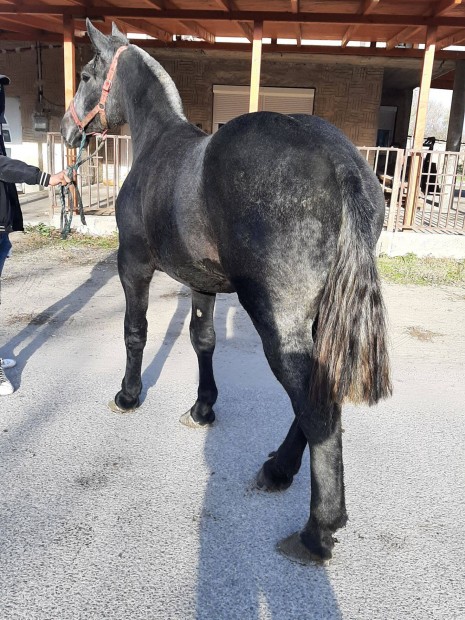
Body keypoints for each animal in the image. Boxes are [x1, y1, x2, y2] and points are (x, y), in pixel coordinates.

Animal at [59, 21, 390, 564]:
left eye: (87, 74)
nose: (69, 131)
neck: (156, 145)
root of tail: (339, 162)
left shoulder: (133, 266)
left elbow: (135, 332)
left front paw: (129, 395)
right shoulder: (202, 283)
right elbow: (203, 341)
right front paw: (204, 407)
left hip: (277, 317)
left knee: (314, 405)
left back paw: (318, 528)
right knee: (318, 392)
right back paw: (278, 469)